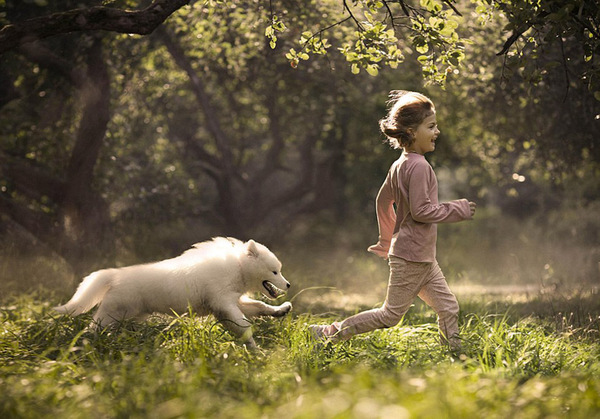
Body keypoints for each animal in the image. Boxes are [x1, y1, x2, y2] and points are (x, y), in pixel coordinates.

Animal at [54, 238, 292, 350]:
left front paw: (281, 310)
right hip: (112, 314)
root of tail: (115, 275)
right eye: (275, 271)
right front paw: (255, 349)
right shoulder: (224, 303)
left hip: (130, 317)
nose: (288, 285)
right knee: (91, 329)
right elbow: (244, 326)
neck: (238, 267)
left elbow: (260, 307)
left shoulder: (231, 302)